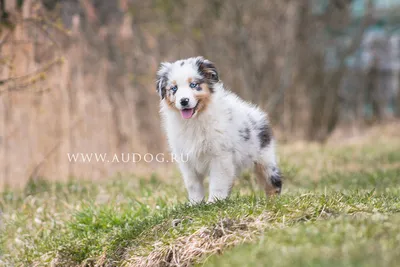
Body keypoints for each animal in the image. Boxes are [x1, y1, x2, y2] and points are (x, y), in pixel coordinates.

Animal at [155, 56, 282, 203]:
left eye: (193, 85)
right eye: (174, 88)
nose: (184, 101)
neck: (195, 120)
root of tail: (257, 113)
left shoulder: (220, 156)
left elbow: (218, 181)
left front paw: (214, 202)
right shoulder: (186, 160)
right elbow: (193, 185)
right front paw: (195, 203)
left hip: (265, 159)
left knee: (273, 181)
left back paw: (273, 200)